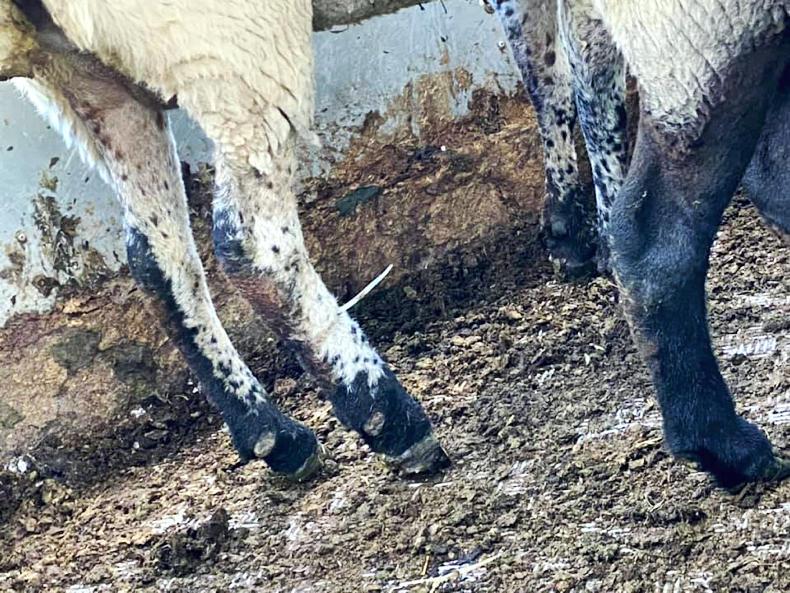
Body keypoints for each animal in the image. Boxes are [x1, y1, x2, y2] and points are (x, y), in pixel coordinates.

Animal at [1, 0, 450, 481]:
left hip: (84, 73)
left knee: (155, 256)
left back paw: (274, 435)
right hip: (234, 45)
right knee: (251, 247)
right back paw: (390, 419)